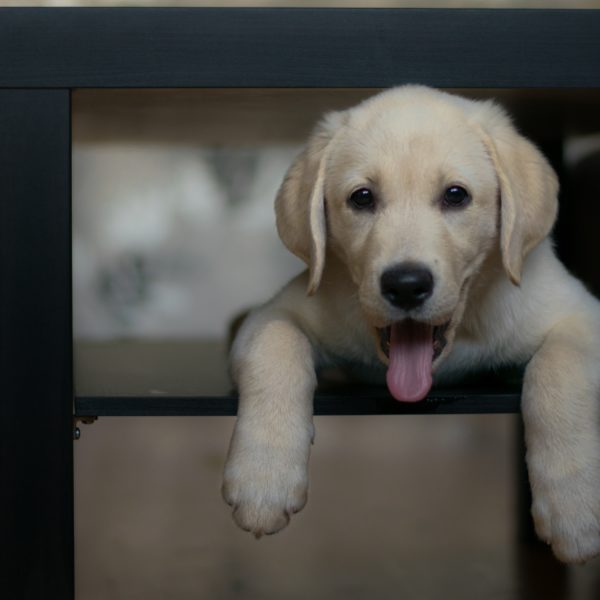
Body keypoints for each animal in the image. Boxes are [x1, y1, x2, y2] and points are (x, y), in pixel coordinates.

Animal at [223, 86, 600, 564]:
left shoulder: (579, 312)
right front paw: (263, 478)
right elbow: (275, 346)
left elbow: (558, 374)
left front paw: (575, 507)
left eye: (455, 195)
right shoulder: (277, 312)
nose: (406, 285)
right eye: (362, 198)